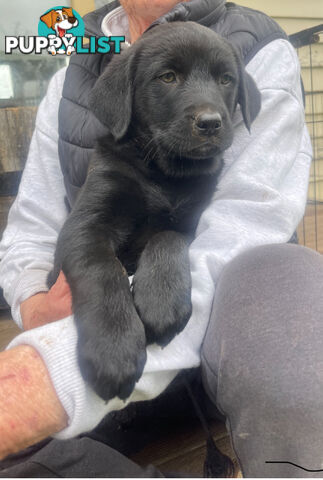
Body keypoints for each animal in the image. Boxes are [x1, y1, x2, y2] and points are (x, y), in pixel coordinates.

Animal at [49, 20, 262, 400]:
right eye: (167, 77)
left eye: (226, 79)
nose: (210, 123)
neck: (163, 173)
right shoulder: (85, 225)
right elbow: (102, 268)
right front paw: (114, 347)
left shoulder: (193, 218)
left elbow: (167, 237)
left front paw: (161, 300)